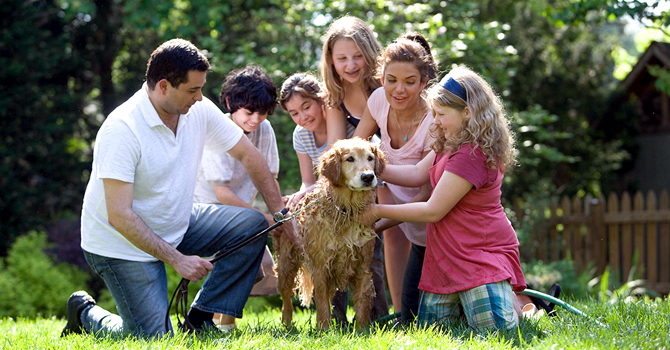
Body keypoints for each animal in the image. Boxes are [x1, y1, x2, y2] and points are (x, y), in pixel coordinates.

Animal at [276, 138, 386, 330]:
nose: (368, 177)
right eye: (350, 159)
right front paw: (324, 330)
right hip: (286, 266)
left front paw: (362, 330)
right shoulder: (320, 268)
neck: (345, 210)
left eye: (370, 158)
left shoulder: (363, 267)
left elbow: (362, 303)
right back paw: (287, 327)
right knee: (286, 302)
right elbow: (321, 305)